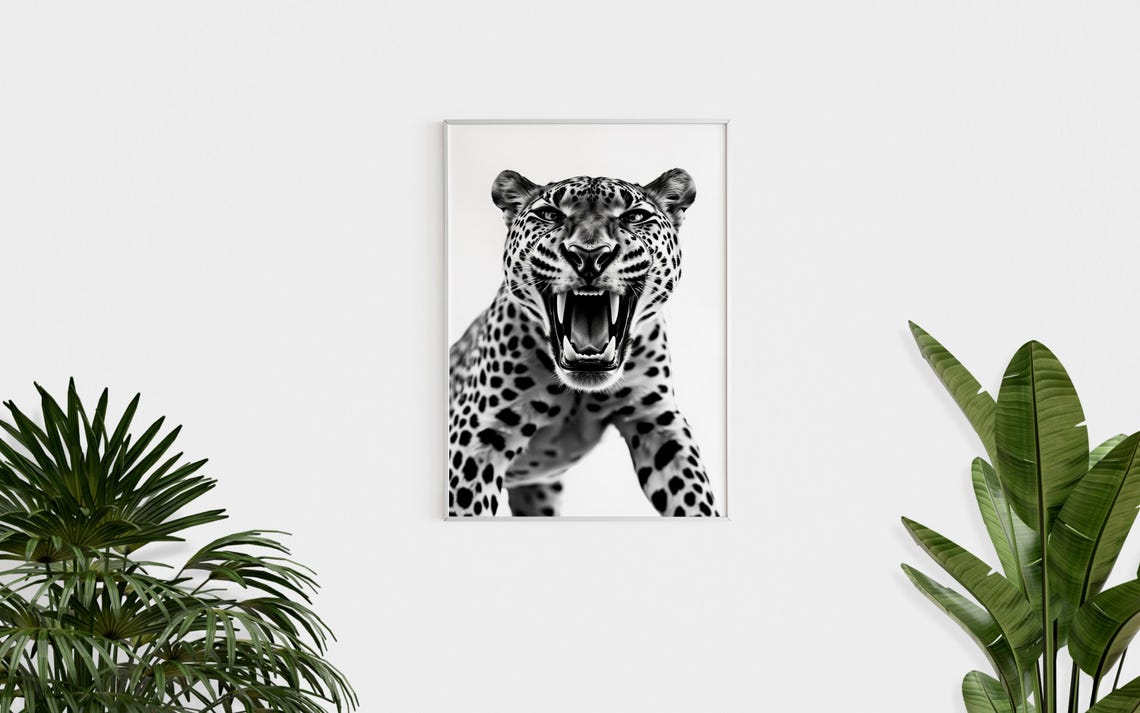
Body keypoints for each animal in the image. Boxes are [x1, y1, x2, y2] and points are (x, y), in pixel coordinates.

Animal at [448, 168, 718, 517]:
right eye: (550, 215)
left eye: (634, 216)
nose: (589, 254)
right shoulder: (476, 436)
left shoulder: (658, 422)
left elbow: (696, 499)